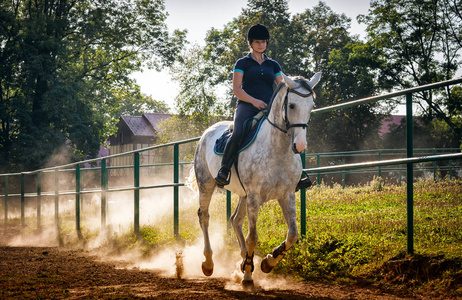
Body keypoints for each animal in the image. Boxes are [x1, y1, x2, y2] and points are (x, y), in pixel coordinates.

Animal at [193, 72, 320, 288]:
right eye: (292, 105)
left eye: (312, 106)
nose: (300, 145)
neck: (277, 149)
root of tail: (207, 132)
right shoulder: (254, 196)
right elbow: (253, 237)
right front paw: (247, 276)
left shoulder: (287, 195)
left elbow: (293, 234)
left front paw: (267, 262)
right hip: (207, 185)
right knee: (205, 217)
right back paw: (209, 263)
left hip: (243, 195)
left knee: (235, 220)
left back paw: (244, 260)